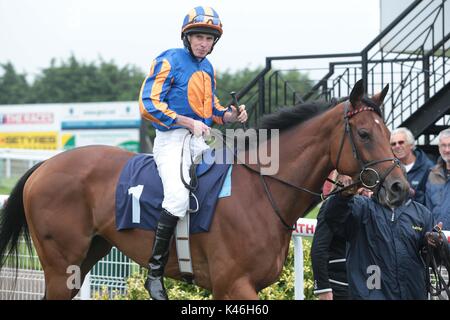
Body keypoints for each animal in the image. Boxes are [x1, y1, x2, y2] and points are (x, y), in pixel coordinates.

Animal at [0, 80, 410, 300]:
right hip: (61, 265)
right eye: (364, 134)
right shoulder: (234, 284)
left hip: (87, 255)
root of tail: (43, 166)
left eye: (390, 133)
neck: (261, 192)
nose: (399, 187)